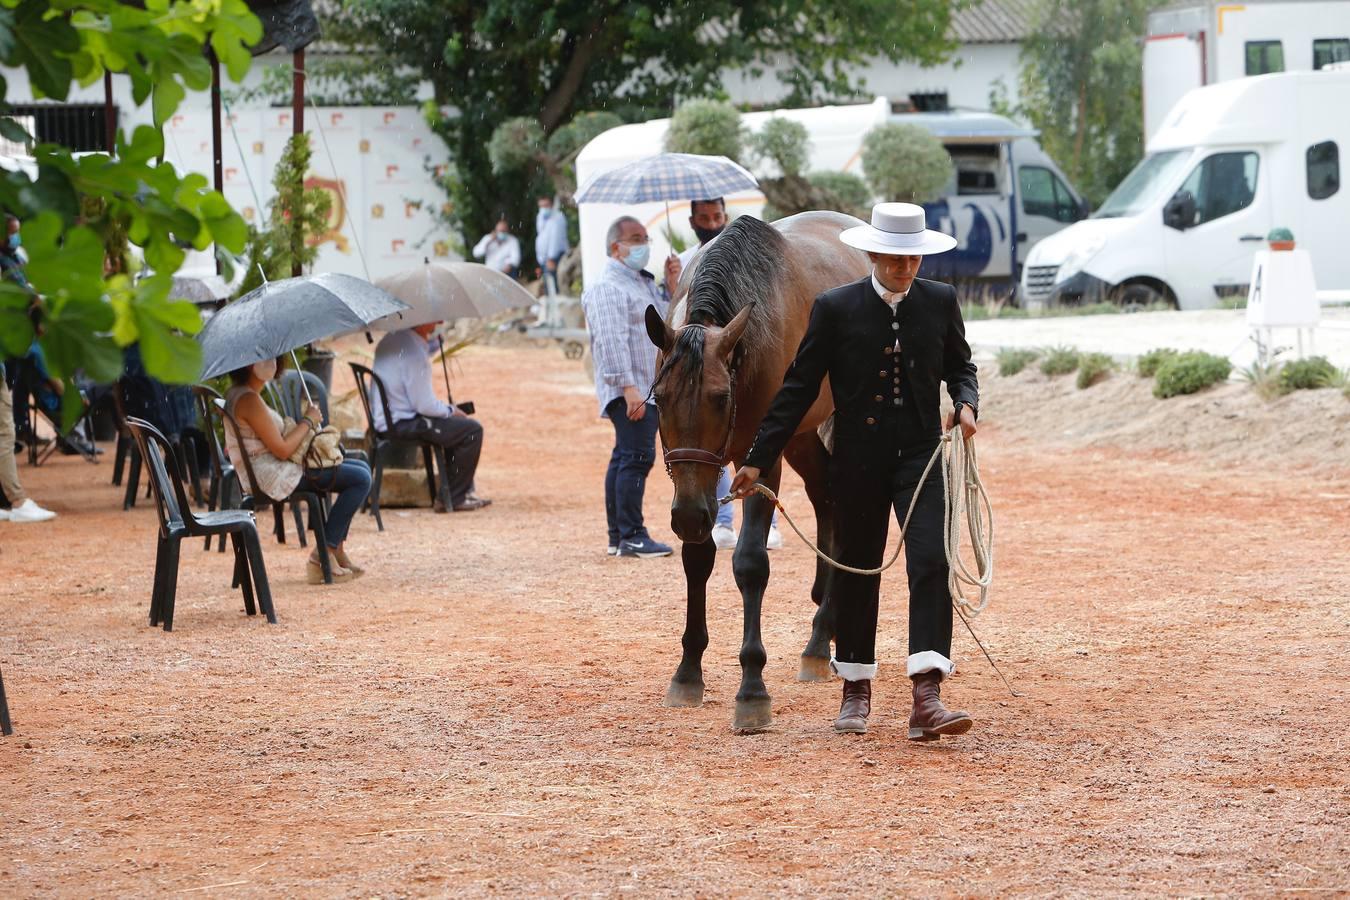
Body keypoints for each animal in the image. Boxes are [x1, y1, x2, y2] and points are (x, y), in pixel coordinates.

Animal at [639, 211, 864, 734]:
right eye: (660, 397)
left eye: (721, 398)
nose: (688, 517)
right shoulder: (697, 488)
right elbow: (697, 559)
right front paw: (688, 672)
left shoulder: (762, 461)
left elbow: (750, 564)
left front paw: (752, 687)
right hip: (802, 436)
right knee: (826, 496)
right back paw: (823, 636)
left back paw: (821, 637)